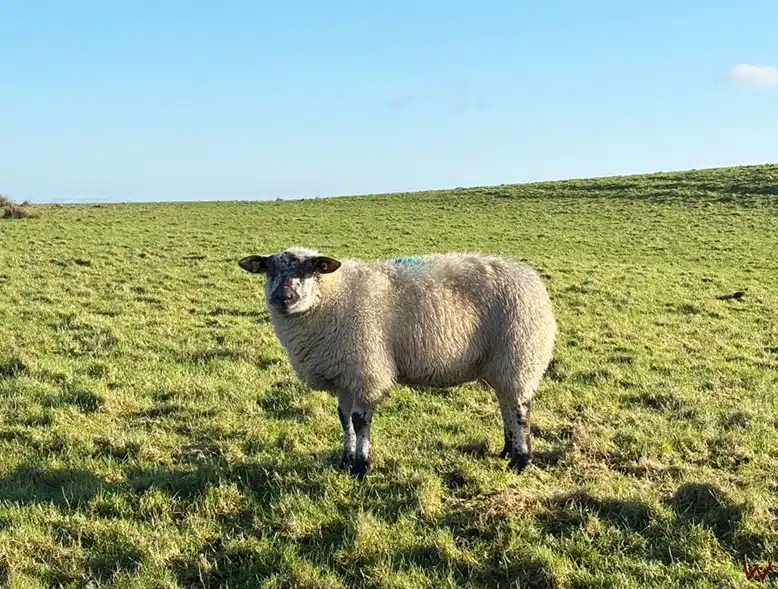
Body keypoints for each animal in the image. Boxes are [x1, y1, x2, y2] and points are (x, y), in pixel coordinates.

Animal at [238, 246, 557, 479]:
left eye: (310, 269)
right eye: (269, 269)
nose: (284, 297)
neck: (330, 297)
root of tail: (528, 276)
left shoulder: (366, 372)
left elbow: (359, 421)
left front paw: (361, 467)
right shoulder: (344, 375)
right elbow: (343, 419)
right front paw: (345, 459)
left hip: (518, 355)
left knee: (520, 410)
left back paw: (520, 461)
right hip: (500, 365)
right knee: (506, 406)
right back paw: (506, 452)